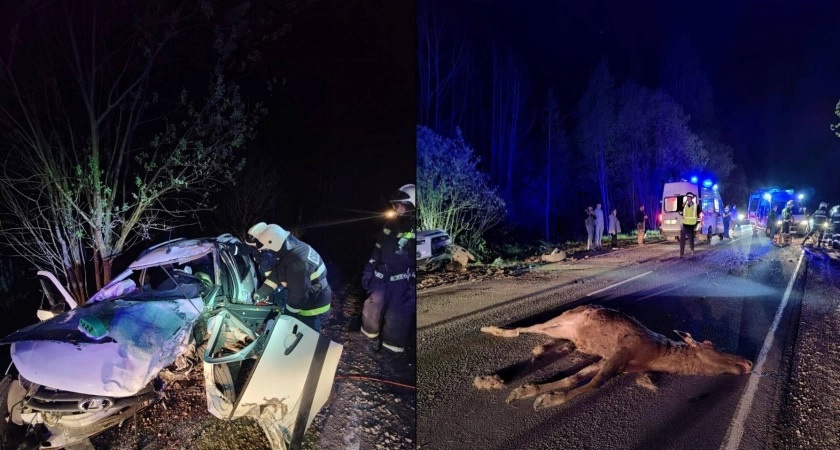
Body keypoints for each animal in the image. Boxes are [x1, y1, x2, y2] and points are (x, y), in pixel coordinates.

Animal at [480, 304, 756, 410]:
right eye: (712, 345)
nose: (749, 362)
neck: (655, 357)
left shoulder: (613, 361)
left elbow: (573, 378)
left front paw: (531, 391)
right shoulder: (623, 350)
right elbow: (595, 383)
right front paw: (549, 399)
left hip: (565, 330)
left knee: (539, 330)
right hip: (565, 317)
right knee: (528, 326)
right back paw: (492, 329)